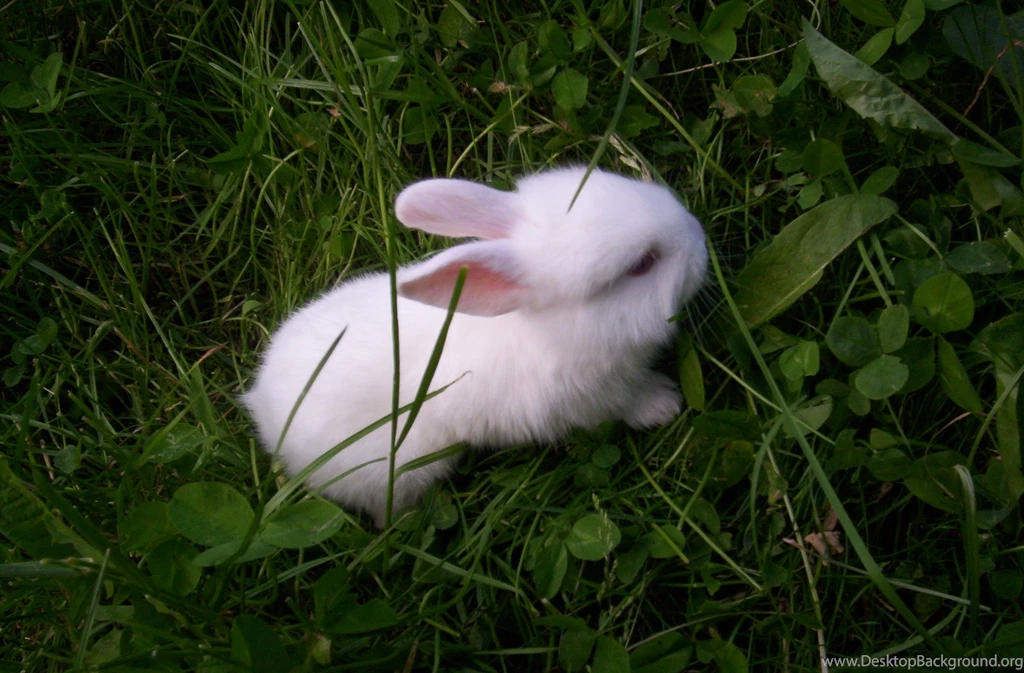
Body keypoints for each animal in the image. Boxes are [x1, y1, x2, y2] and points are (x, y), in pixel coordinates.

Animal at [243, 166, 708, 527]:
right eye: (641, 265)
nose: (699, 238)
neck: (554, 328)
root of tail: (263, 409)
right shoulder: (591, 402)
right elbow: (626, 404)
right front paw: (663, 404)